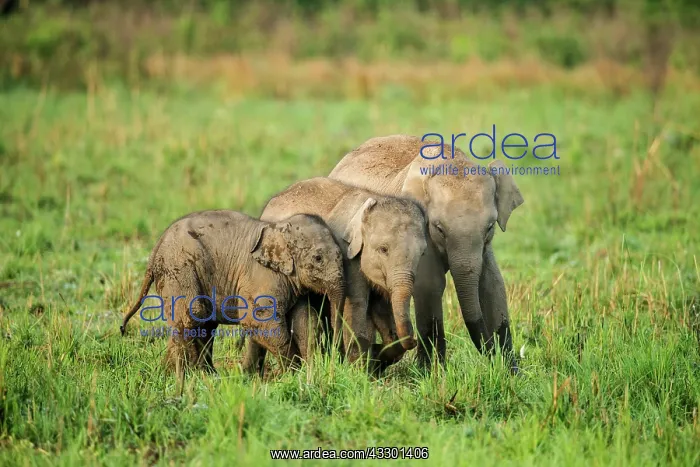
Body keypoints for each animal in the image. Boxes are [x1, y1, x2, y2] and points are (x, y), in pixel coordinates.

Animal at [120, 210, 346, 374]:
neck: (279, 228)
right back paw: (186, 375)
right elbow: (257, 320)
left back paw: (200, 375)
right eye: (318, 258)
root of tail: (155, 250)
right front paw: (293, 372)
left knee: (204, 323)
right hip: (179, 268)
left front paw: (306, 371)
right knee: (192, 315)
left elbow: (303, 320)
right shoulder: (262, 277)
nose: (336, 358)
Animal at [241, 177, 429, 376]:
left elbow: (381, 308)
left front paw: (376, 360)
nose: (415, 340)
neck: (371, 199)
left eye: (422, 253)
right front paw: (360, 372)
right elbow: (355, 305)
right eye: (383, 249)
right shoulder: (347, 255)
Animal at [329, 135, 524, 373]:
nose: (492, 356)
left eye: (489, 227)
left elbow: (491, 284)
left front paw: (512, 372)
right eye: (439, 228)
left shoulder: (485, 247)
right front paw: (431, 373)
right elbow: (430, 285)